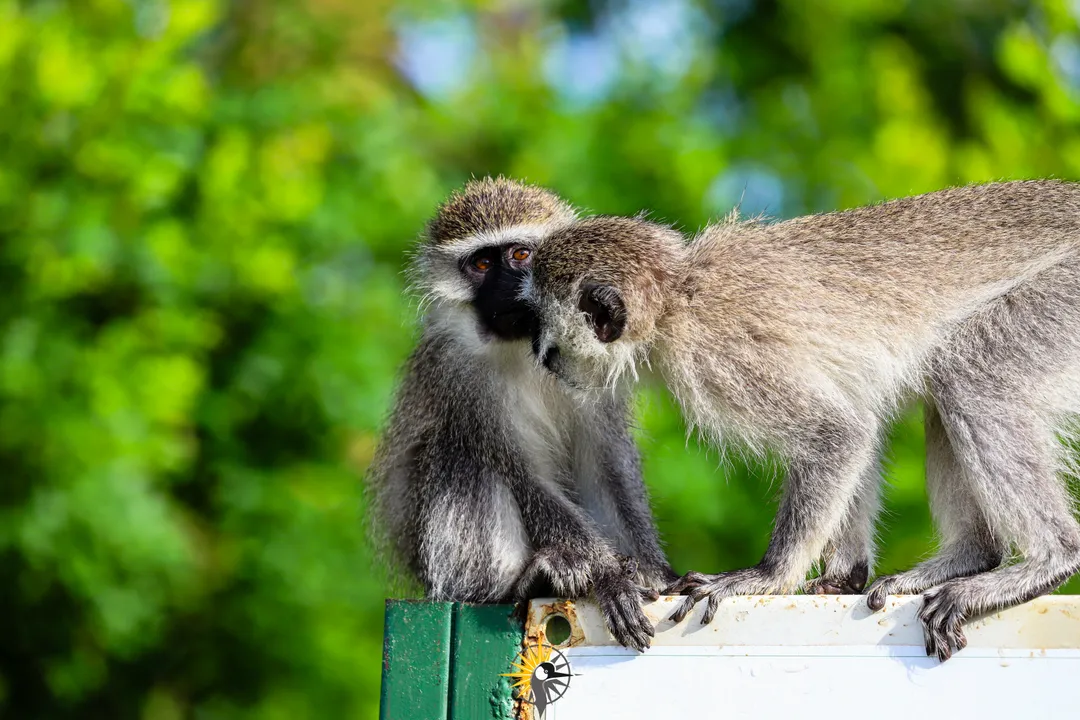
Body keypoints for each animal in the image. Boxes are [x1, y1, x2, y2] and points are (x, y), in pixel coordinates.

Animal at [367, 177, 678, 651]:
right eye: (481, 263)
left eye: (520, 255)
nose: (511, 286)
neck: (524, 345)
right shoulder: (459, 370)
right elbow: (521, 471)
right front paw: (607, 576)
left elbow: (606, 467)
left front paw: (651, 571)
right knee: (460, 454)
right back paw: (518, 583)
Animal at [527, 180, 1080, 660]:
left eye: (544, 332)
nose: (541, 359)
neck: (675, 298)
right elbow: (860, 419)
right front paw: (844, 574)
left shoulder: (716, 360)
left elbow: (838, 431)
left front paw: (767, 576)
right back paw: (972, 557)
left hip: (1064, 299)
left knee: (970, 373)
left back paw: (1050, 561)